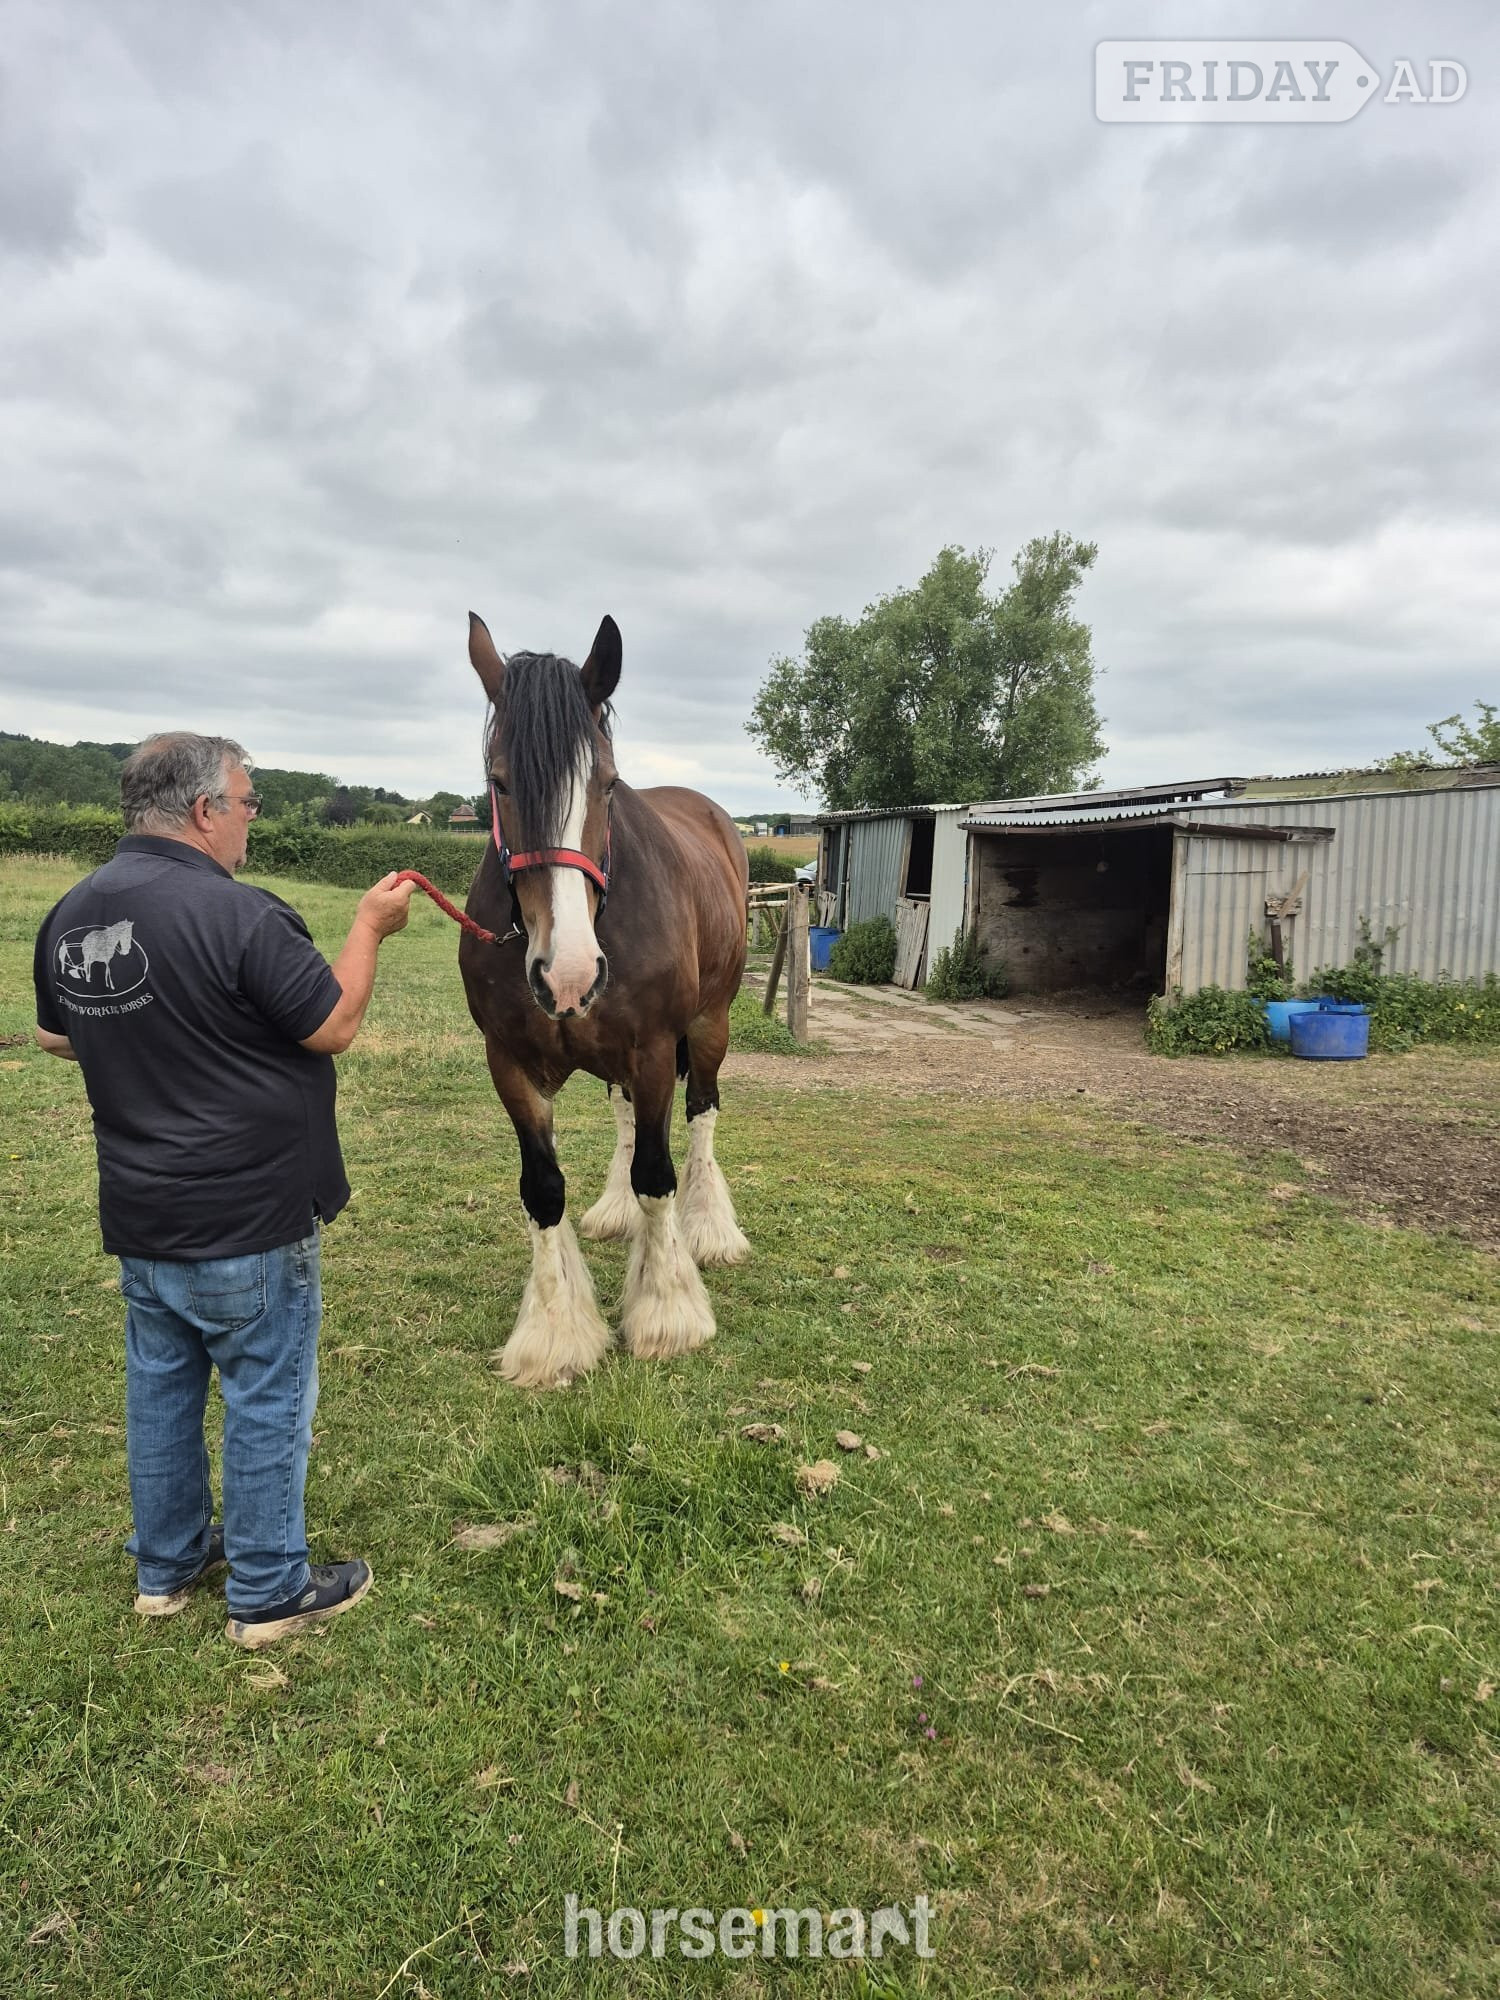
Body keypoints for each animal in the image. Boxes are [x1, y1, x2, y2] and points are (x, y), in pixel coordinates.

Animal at [457, 611, 751, 1389]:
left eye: (609, 785)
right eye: (498, 783)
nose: (567, 973)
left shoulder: (652, 1049)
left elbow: (658, 1174)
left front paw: (667, 1310)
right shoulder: (510, 1065)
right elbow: (543, 1190)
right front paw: (554, 1332)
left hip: (709, 1026)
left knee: (702, 1112)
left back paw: (708, 1229)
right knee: (624, 1117)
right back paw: (617, 1213)